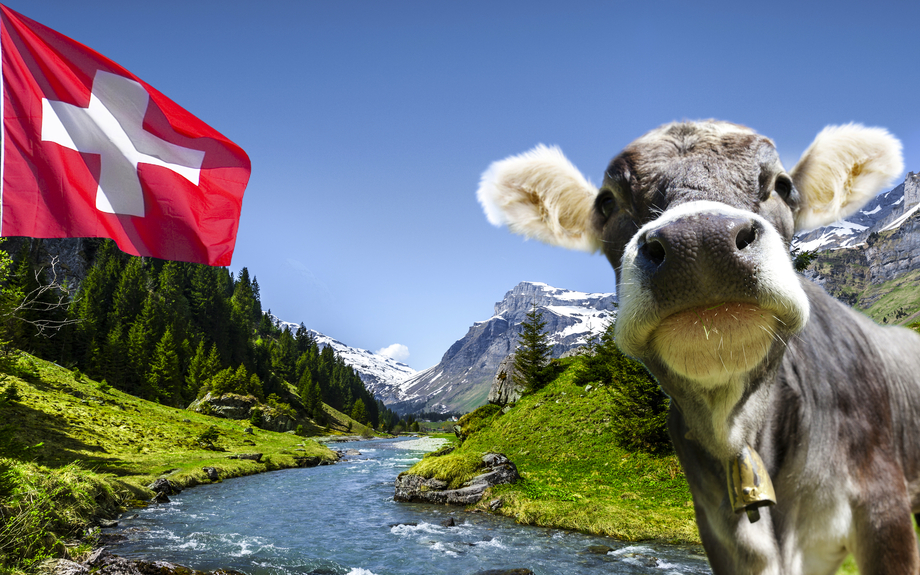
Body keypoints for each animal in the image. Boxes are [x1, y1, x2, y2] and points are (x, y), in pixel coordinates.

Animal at [476, 120, 920, 574]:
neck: (734, 431)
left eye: (782, 185)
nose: (701, 241)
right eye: (607, 202)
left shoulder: (883, 506)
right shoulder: (718, 531)